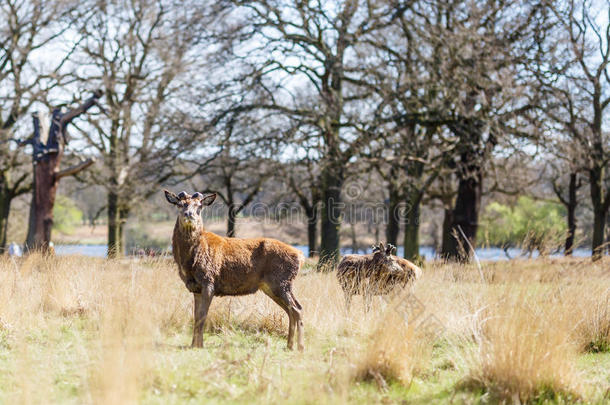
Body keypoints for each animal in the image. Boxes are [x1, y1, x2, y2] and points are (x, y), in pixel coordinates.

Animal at [164, 189, 304, 350]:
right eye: (180, 204)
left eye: (199, 206)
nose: (189, 214)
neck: (188, 263)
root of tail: (301, 256)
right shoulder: (195, 287)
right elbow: (196, 316)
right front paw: (193, 345)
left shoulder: (209, 281)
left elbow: (203, 316)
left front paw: (200, 345)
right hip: (273, 286)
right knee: (290, 310)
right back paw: (289, 345)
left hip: (281, 282)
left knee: (297, 309)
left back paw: (300, 347)